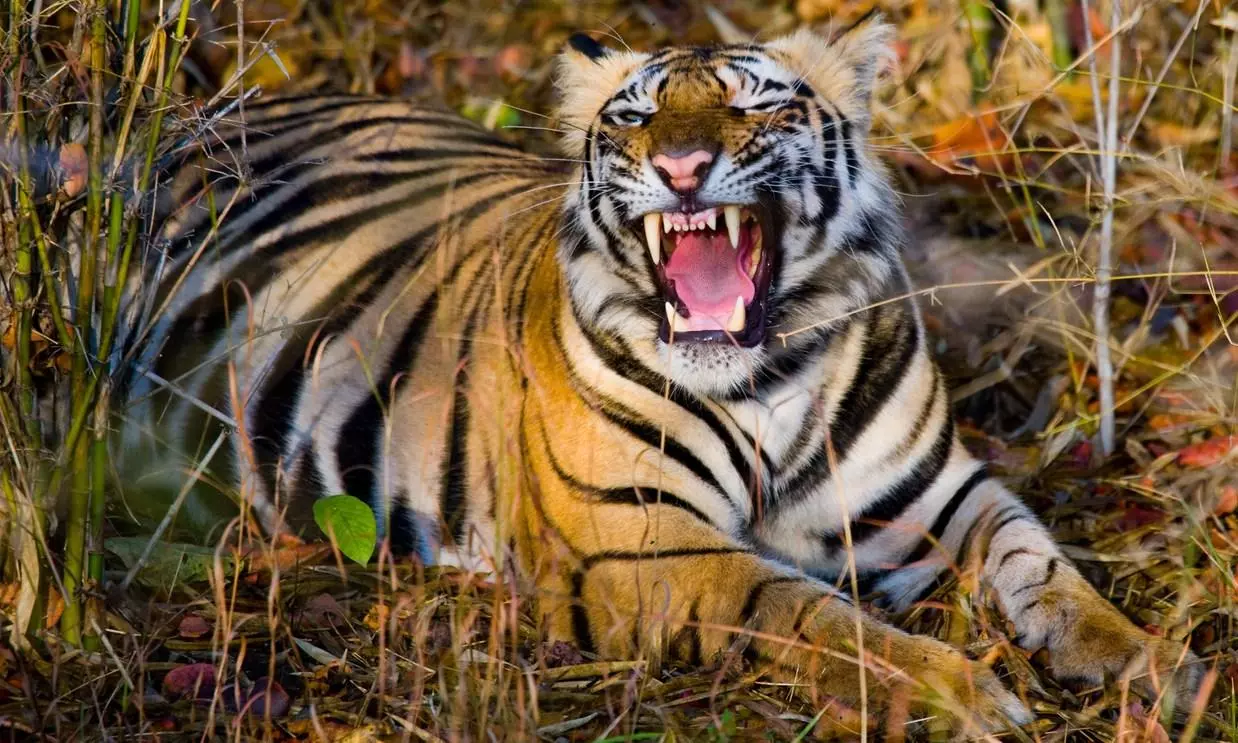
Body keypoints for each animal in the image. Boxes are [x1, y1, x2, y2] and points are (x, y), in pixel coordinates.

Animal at [113, 18, 1201, 733]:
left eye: (756, 102)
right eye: (634, 116)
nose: (680, 167)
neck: (770, 376)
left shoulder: (941, 497)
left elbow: (1045, 568)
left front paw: (1156, 666)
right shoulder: (641, 543)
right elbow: (812, 614)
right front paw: (963, 692)